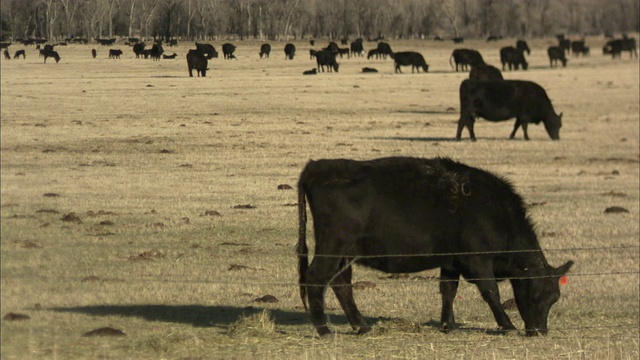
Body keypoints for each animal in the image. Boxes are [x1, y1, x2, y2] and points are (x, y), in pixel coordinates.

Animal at [298, 155, 572, 338]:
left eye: (554, 298)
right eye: (535, 295)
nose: (540, 331)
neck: (495, 212)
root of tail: (317, 166)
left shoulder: (451, 261)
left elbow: (448, 290)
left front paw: (449, 325)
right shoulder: (477, 260)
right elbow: (490, 291)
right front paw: (508, 326)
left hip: (346, 253)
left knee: (341, 284)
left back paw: (361, 326)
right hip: (332, 246)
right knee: (316, 278)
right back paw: (323, 330)